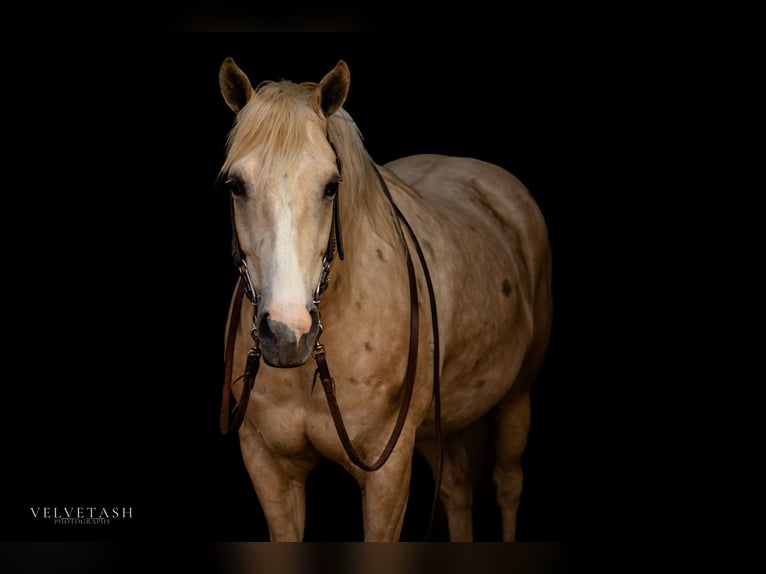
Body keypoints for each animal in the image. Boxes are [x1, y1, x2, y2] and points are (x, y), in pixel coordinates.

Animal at [217, 57, 553, 542]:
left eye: (331, 185)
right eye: (236, 185)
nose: (286, 332)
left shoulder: (388, 471)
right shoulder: (267, 464)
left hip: (516, 396)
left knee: (508, 485)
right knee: (457, 488)